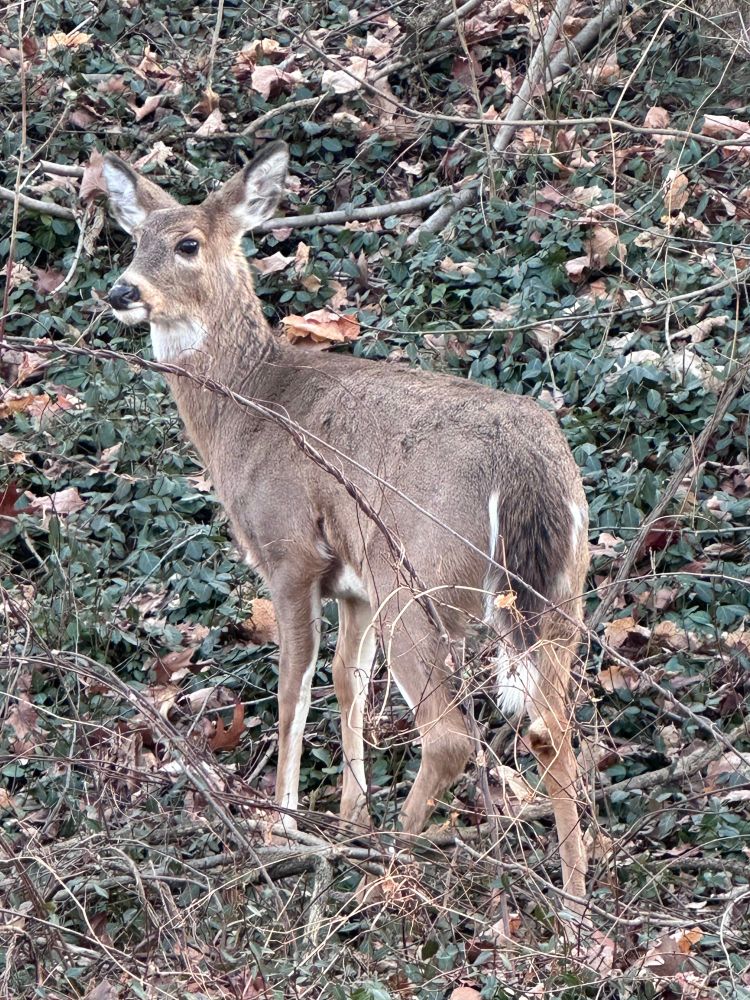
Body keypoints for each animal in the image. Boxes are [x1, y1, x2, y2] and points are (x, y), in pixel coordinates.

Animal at [102, 141, 590, 912]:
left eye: (187, 244)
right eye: (133, 240)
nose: (121, 292)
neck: (249, 408)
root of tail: (523, 470)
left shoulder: (290, 551)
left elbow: (295, 686)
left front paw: (282, 826)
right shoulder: (352, 582)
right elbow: (347, 681)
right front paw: (349, 812)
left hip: (419, 577)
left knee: (451, 735)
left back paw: (390, 861)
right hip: (562, 586)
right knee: (553, 729)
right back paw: (574, 907)